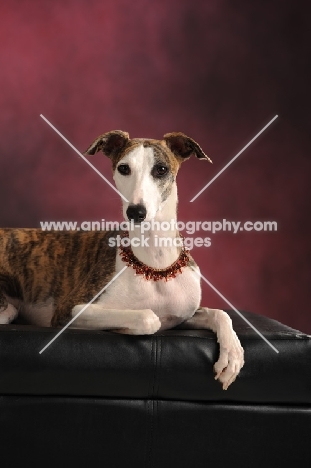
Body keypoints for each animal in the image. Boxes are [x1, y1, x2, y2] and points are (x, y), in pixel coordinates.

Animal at [0, 131, 245, 388]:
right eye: (124, 168)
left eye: (161, 169)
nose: (136, 212)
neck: (154, 263)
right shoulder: (70, 309)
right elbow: (149, 318)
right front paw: (126, 328)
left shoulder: (185, 314)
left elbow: (221, 313)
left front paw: (232, 355)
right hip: (8, 309)